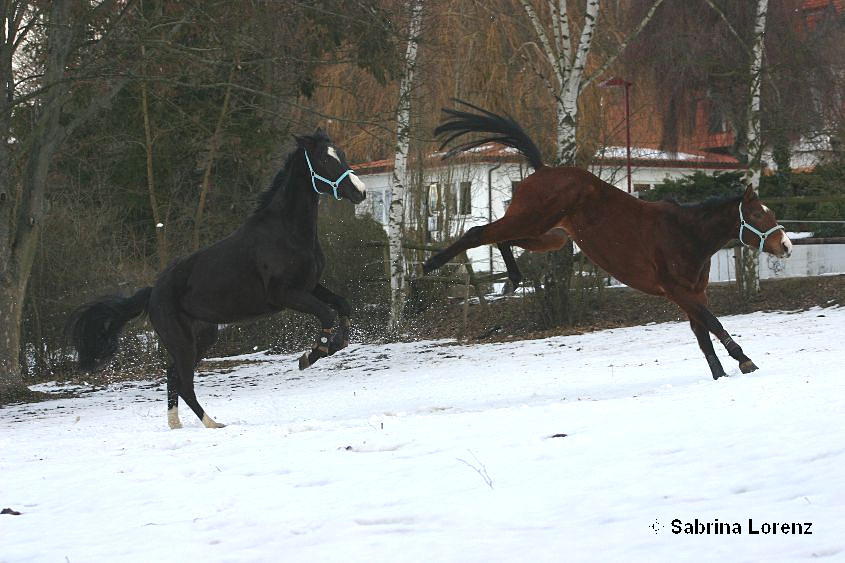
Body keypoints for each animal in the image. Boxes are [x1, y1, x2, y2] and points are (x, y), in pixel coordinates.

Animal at [68, 129, 366, 428]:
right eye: (324, 160)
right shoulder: (285, 294)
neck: (286, 232)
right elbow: (327, 314)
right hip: (182, 342)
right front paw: (309, 357)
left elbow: (343, 305)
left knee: (173, 375)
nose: (360, 191)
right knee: (184, 383)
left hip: (203, 336)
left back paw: (177, 425)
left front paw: (337, 344)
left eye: (341, 154)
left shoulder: (310, 286)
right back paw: (212, 424)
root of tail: (153, 291)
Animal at [426, 103, 796, 382]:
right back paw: (432, 264)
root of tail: (543, 169)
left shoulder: (693, 294)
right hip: (532, 220)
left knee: (502, 238)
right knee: (478, 232)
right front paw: (744, 360)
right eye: (759, 215)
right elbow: (714, 324)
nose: (786, 246)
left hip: (550, 236)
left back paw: (513, 279)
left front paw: (721, 374)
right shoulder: (678, 291)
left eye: (771, 212)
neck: (686, 234)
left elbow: (704, 334)